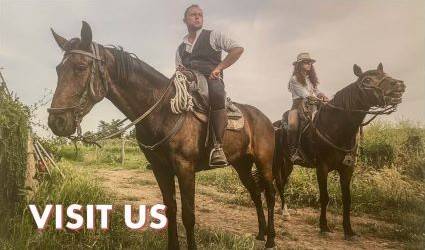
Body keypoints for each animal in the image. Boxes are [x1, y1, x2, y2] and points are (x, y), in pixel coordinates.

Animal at [48, 22, 276, 250]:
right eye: (58, 69)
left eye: (80, 67)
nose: (56, 121)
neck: (162, 111)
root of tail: (266, 119)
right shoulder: (160, 169)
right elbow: (170, 209)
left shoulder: (185, 168)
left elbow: (188, 215)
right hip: (241, 164)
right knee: (256, 193)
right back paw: (261, 233)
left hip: (264, 162)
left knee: (270, 194)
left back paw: (271, 238)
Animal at [274, 63, 406, 239]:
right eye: (367, 80)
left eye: (385, 74)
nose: (399, 85)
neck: (336, 127)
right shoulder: (322, 168)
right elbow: (325, 197)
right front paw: (324, 227)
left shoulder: (347, 169)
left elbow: (347, 199)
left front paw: (349, 231)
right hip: (279, 162)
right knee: (279, 183)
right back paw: (282, 212)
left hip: (288, 164)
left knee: (282, 183)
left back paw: (285, 213)